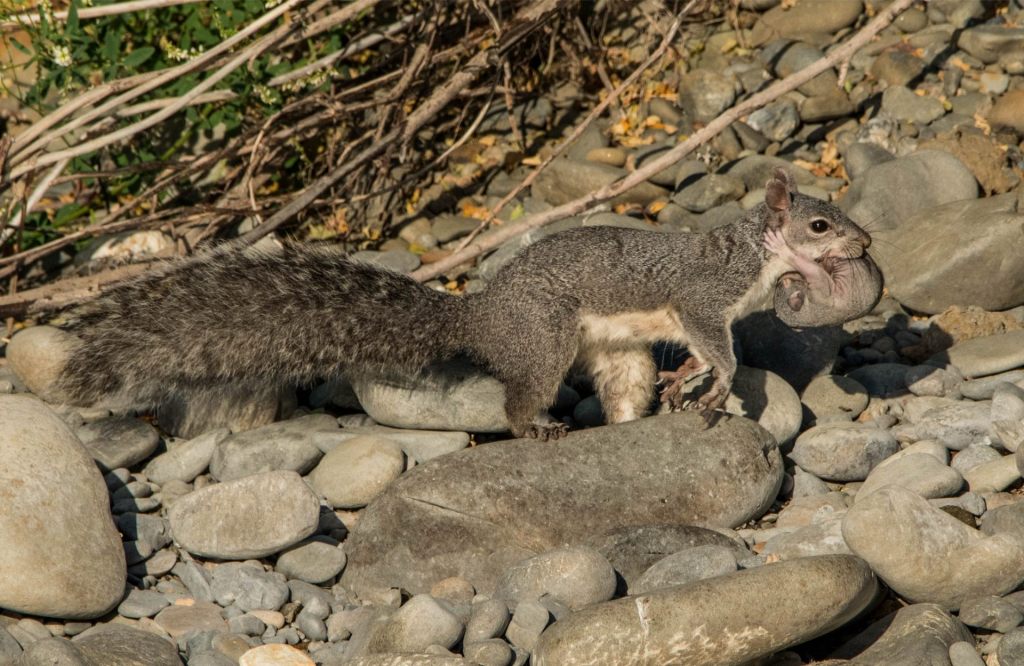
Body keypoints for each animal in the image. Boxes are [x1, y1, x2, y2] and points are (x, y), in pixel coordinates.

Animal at [55, 167, 872, 440]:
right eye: (820, 225)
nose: (864, 241)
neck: (752, 258)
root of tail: (480, 318)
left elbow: (702, 356)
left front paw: (691, 384)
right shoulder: (702, 299)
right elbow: (717, 345)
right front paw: (721, 384)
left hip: (614, 353)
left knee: (625, 389)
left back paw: (632, 422)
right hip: (544, 343)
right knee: (517, 402)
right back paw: (539, 428)